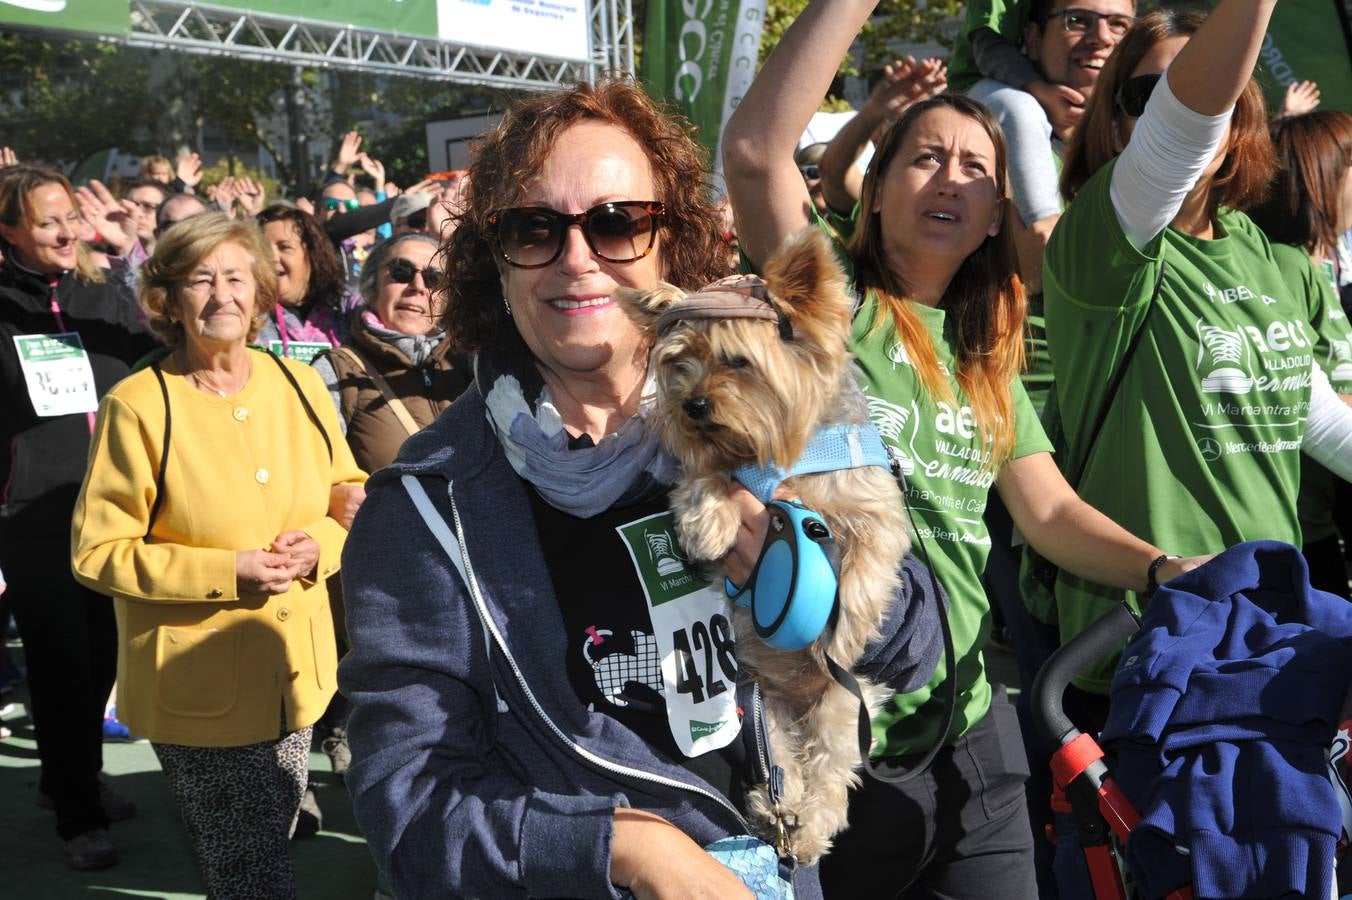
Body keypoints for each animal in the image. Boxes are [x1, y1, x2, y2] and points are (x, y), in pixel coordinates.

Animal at [619, 228, 913, 859]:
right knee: (780, 765)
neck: (782, 460)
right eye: (679, 364)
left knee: (829, 768)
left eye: (737, 360)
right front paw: (708, 521)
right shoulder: (710, 462)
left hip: (841, 708)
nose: (692, 406)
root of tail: (795, 704)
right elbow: (704, 477)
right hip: (761, 712)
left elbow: (869, 567)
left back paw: (809, 826)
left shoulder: (876, 512)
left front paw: (846, 629)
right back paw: (777, 810)